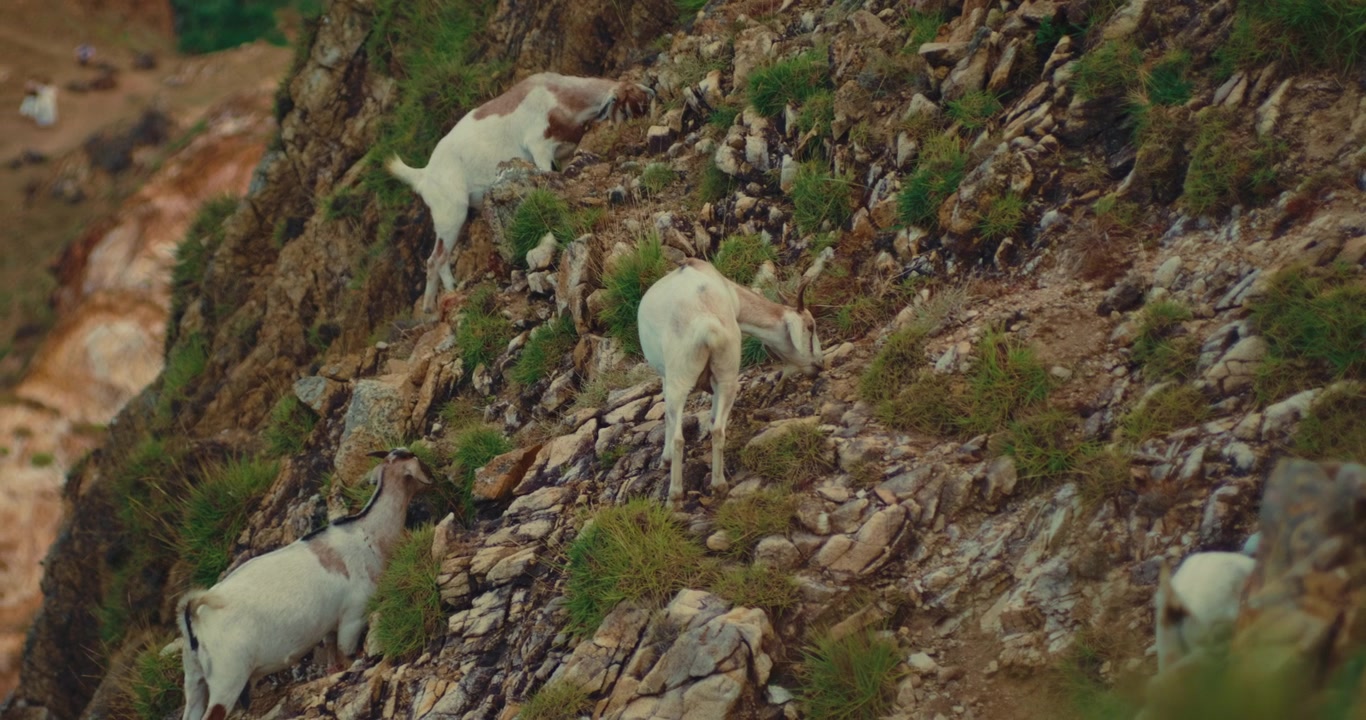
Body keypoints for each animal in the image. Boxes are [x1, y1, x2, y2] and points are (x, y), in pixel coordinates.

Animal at [177, 448, 433, 720]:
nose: (434, 477)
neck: (367, 533)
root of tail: (194, 619)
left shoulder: (330, 624)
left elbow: (333, 658)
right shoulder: (354, 615)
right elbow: (347, 653)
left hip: (194, 679)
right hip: (227, 680)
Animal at [386, 72, 654, 314]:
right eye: (631, 99)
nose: (651, 93)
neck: (559, 97)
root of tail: (424, 175)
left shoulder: (565, 153)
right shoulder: (540, 149)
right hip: (450, 214)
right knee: (435, 259)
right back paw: (439, 302)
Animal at [638, 254, 829, 507]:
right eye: (810, 326)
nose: (819, 364)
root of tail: (708, 324)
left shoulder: (666, 377)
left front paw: (664, 459)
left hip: (680, 378)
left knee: (680, 437)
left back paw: (675, 496)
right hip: (728, 374)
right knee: (718, 429)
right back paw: (719, 485)